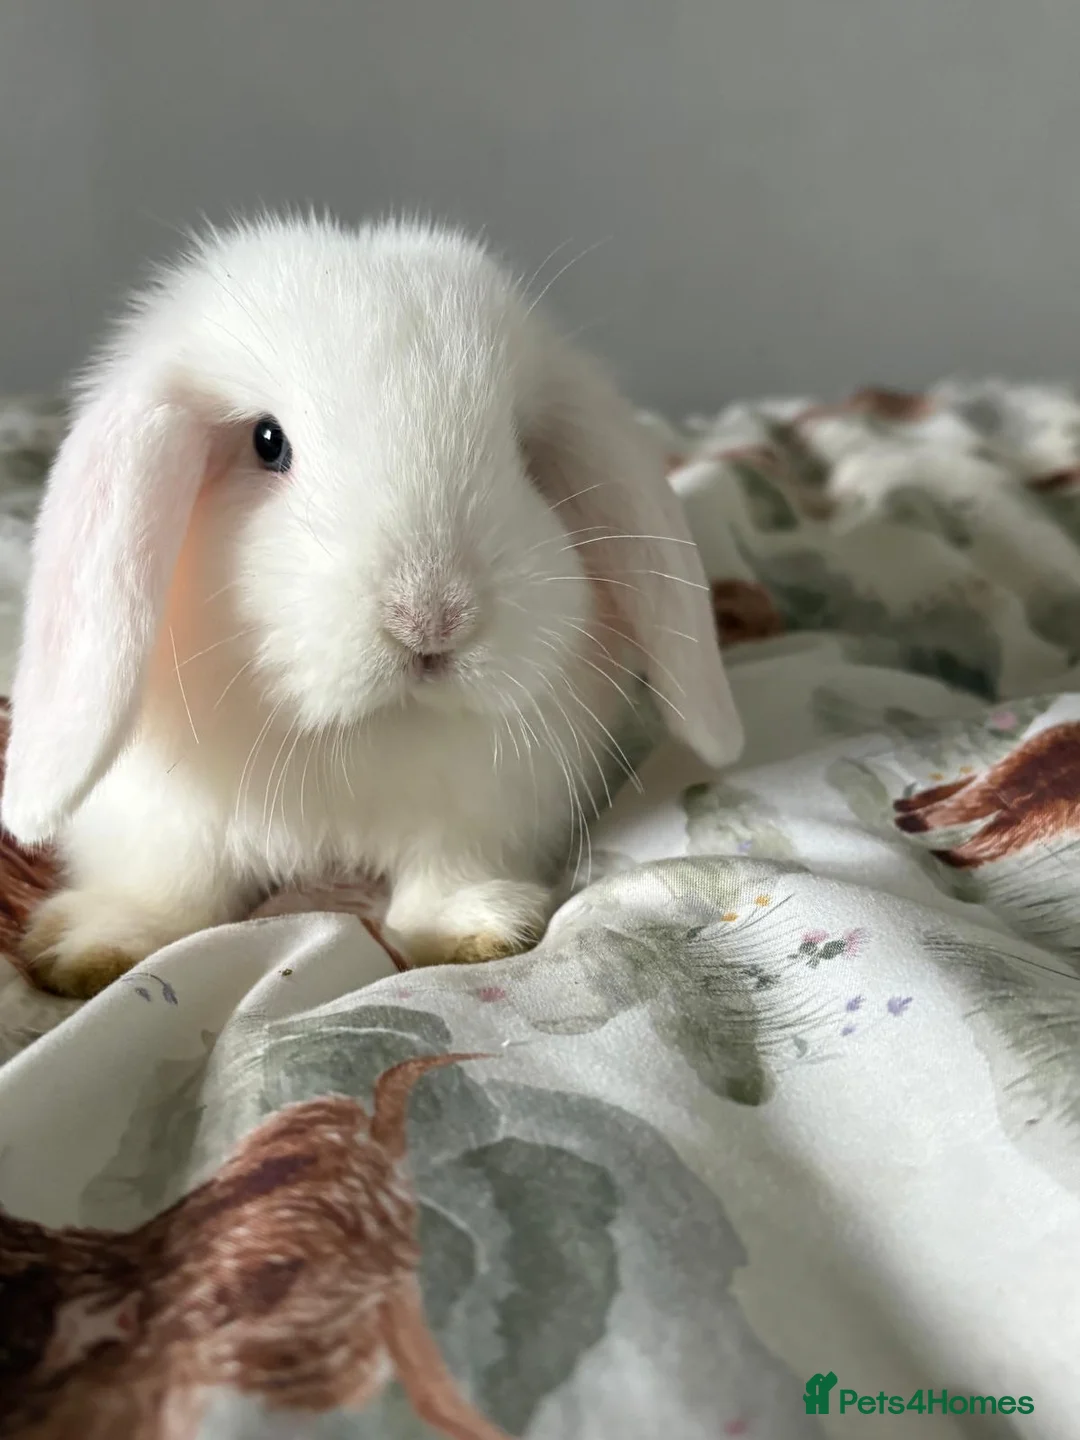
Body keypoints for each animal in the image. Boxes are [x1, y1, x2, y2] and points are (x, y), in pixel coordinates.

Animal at [0, 214, 743, 998]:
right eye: (268, 441)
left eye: (522, 453)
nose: (433, 619)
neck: (360, 735)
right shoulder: (164, 821)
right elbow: (174, 889)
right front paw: (97, 947)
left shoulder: (483, 810)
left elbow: (448, 869)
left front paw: (471, 934)